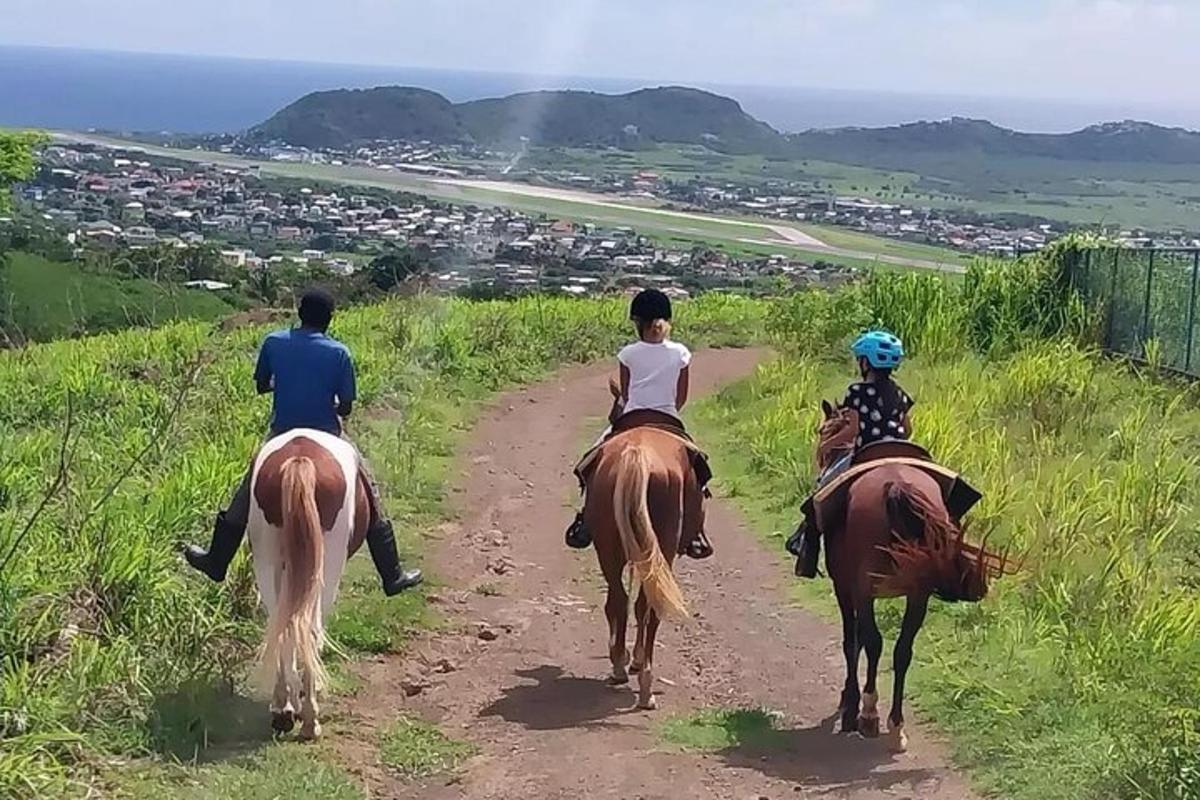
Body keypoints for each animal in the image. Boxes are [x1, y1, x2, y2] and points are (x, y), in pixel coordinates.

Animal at [247, 429, 364, 743]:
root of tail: (299, 460)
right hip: (328, 565)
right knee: (309, 629)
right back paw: (310, 719)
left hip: (267, 561)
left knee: (280, 624)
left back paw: (283, 710)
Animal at [580, 424, 696, 705]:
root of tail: (637, 455)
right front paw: (636, 657)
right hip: (658, 549)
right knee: (642, 604)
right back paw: (640, 679)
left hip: (610, 548)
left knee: (620, 601)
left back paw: (625, 670)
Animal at [816, 402, 1003, 753]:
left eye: (823, 429)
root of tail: (896, 486)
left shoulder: (845, 588)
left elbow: (852, 641)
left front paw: (849, 706)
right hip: (918, 594)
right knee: (903, 651)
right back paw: (896, 726)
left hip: (867, 588)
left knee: (873, 643)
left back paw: (870, 715)